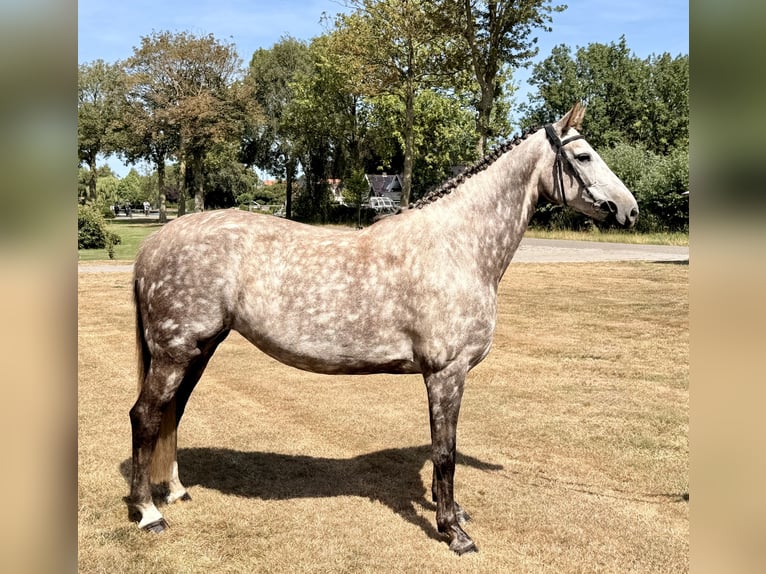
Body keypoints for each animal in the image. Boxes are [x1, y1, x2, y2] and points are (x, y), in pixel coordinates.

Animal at [127, 103, 638, 555]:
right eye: (583, 155)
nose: (630, 210)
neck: (457, 246)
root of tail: (155, 242)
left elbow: (444, 452)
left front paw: (453, 513)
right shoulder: (446, 373)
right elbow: (446, 452)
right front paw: (453, 532)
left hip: (199, 349)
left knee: (173, 414)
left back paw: (175, 491)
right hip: (175, 352)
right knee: (147, 416)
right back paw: (148, 513)